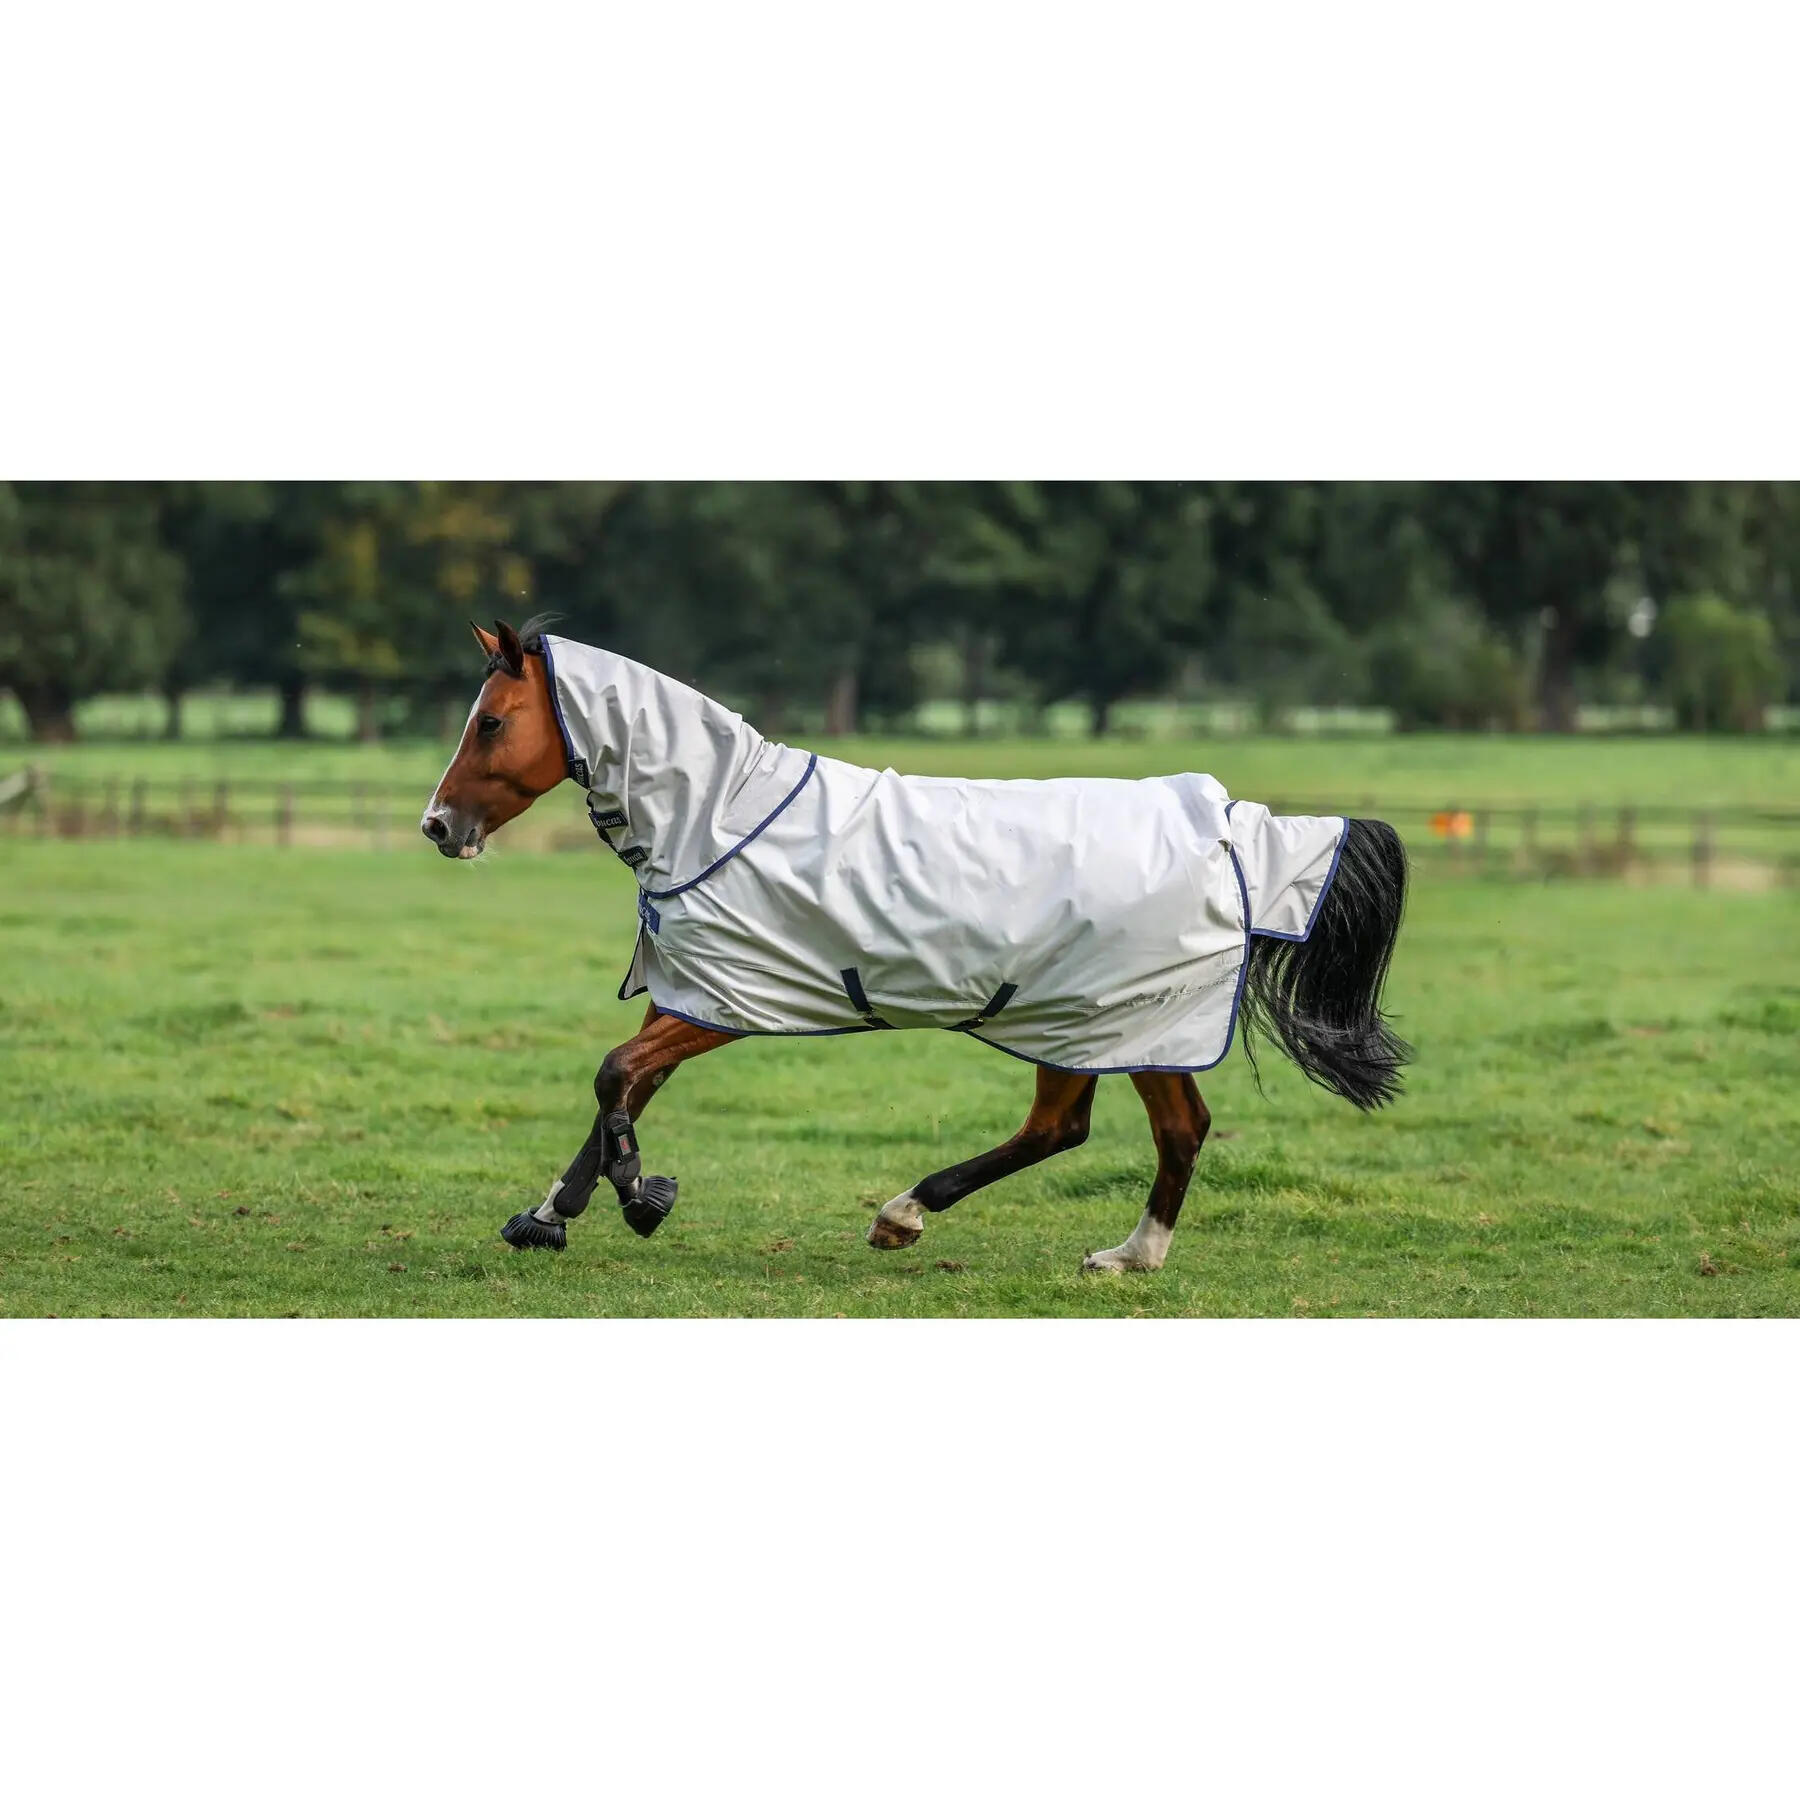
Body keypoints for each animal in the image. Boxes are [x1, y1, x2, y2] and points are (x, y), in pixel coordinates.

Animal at [422, 617, 1409, 1274]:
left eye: (491, 722)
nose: (438, 826)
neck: (719, 818)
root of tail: (1234, 826)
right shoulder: (690, 992)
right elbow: (626, 1089)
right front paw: (550, 1213)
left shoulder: (728, 1003)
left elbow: (615, 1077)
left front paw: (638, 1199)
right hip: (1083, 1023)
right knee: (1084, 1128)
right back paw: (1057, 1241)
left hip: (1119, 1021)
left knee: (1148, 1129)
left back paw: (1034, 1236)